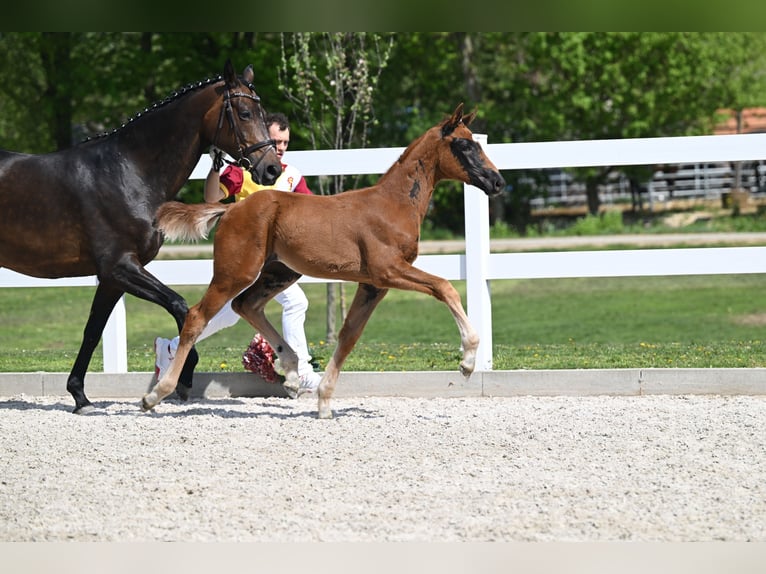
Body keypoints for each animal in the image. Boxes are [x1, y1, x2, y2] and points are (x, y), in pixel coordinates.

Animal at [0, 60, 282, 414]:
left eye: (263, 112)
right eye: (244, 113)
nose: (272, 169)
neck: (128, 172)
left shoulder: (112, 278)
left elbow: (93, 331)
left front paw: (80, 396)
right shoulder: (120, 267)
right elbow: (181, 306)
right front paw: (180, 375)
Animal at [143, 104, 508, 418]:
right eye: (464, 145)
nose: (497, 182)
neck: (392, 205)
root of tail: (231, 208)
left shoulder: (373, 285)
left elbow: (348, 336)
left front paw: (324, 402)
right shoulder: (388, 271)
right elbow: (445, 287)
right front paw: (468, 361)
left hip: (279, 273)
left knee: (245, 305)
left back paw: (291, 369)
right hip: (236, 272)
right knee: (198, 316)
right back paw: (156, 393)